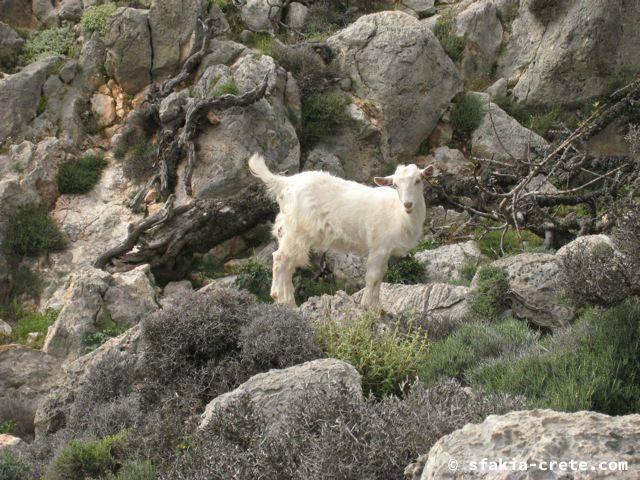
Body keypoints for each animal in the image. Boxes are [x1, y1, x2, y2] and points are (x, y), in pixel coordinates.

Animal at [248, 154, 432, 308]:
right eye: (395, 185)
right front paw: (368, 307)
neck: (398, 213)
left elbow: (380, 277)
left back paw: (286, 301)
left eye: (418, 180)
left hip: (288, 231)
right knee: (281, 259)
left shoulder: (385, 250)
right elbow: (373, 277)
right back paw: (284, 300)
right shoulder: (379, 246)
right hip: (297, 231)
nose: (408, 204)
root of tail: (284, 183)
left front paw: (378, 307)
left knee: (287, 264)